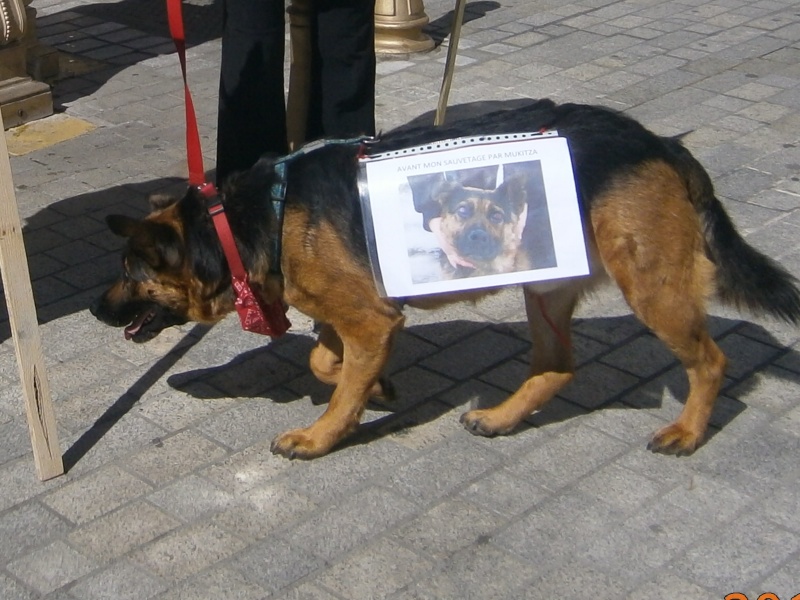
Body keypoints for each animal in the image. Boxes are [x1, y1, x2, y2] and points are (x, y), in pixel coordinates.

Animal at [90, 101, 796, 462]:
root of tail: (660, 142)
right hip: (546, 287)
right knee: (558, 366)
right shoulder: (354, 316)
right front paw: (373, 387)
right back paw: (502, 418)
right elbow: (327, 361)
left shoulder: (371, 318)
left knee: (710, 360)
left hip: (649, 287)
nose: (97, 309)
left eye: (127, 274)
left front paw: (323, 435)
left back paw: (688, 431)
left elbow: (337, 382)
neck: (246, 220)